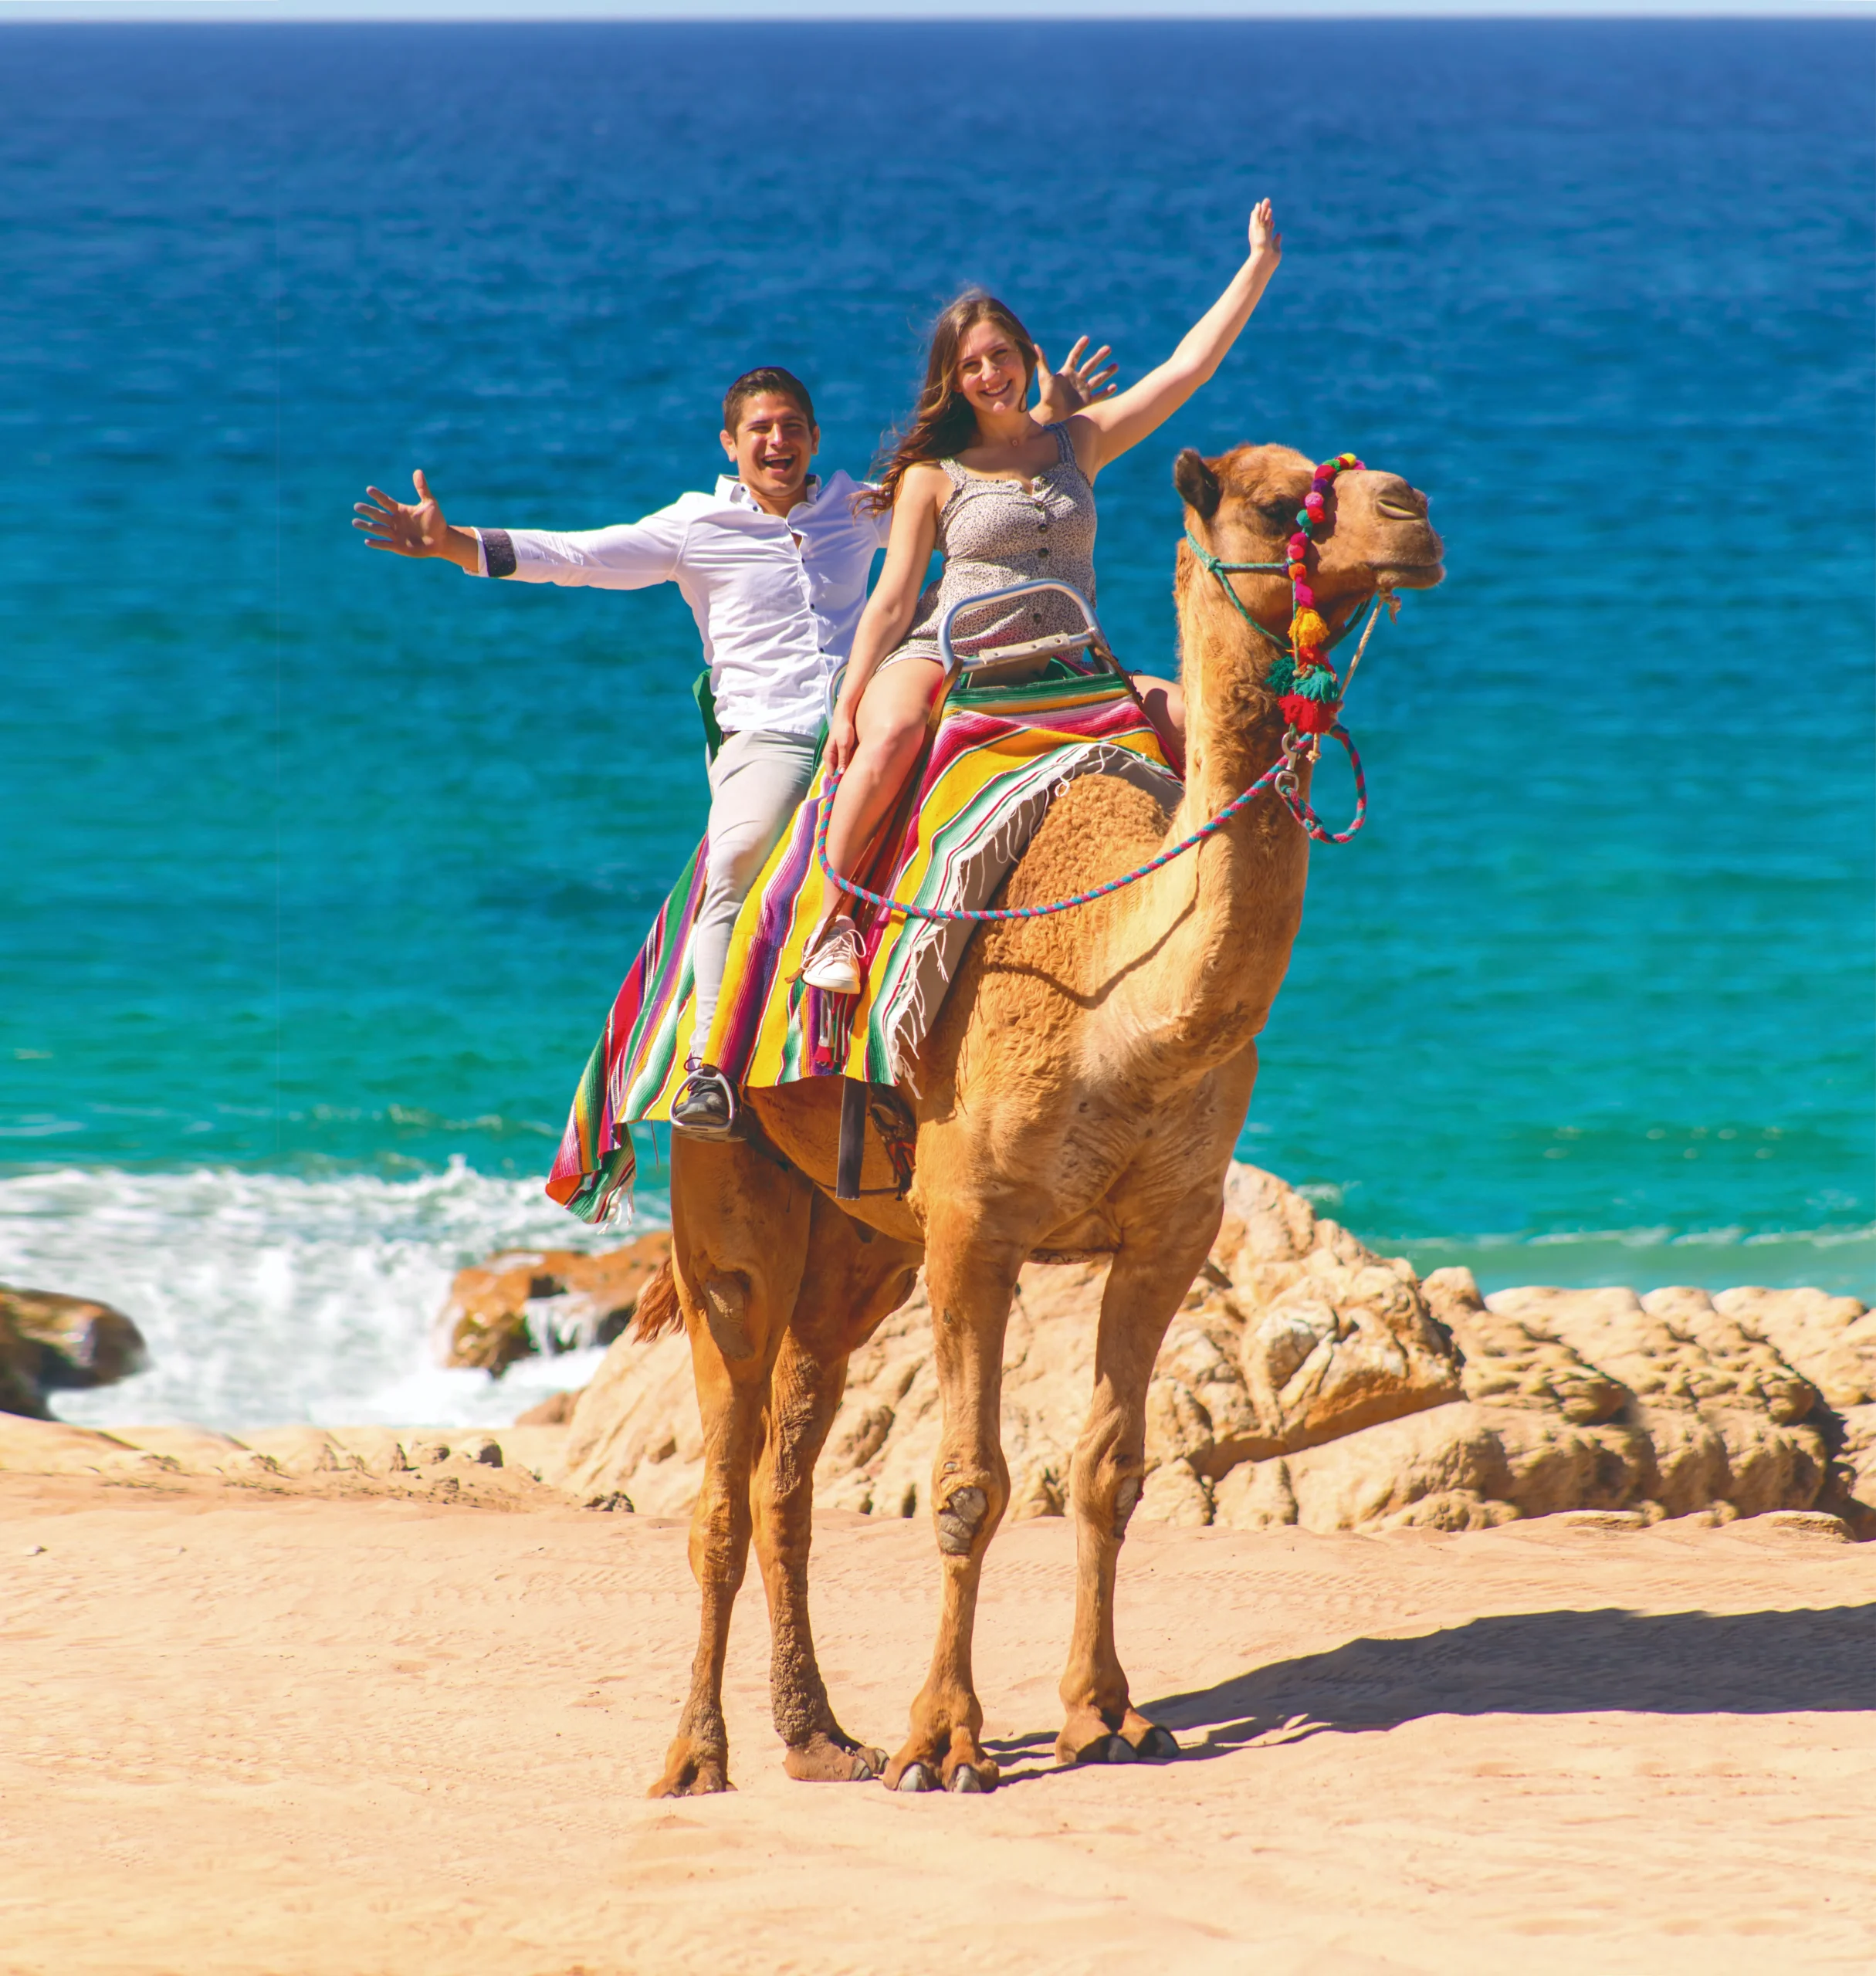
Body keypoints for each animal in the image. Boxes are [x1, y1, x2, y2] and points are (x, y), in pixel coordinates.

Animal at [636, 440, 1439, 1802]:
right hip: (729, 1188)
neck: (1123, 1006)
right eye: (1281, 503)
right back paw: (699, 1757)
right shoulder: (976, 1227)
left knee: (788, 1464)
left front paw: (1105, 1716)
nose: (1414, 515)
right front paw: (945, 1743)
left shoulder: (1168, 1232)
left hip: (860, 1241)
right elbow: (969, 1485)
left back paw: (819, 1738)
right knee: (724, 1477)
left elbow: (1111, 1472)